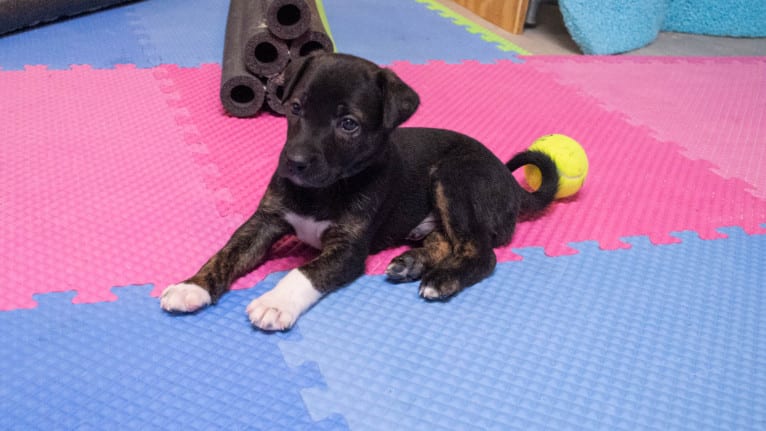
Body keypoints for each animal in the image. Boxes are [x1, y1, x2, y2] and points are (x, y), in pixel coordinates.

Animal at [160, 53, 560, 330]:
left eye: (348, 124)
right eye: (295, 108)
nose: (294, 162)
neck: (324, 189)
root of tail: (512, 185)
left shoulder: (348, 248)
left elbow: (304, 271)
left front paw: (276, 302)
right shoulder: (265, 220)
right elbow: (226, 253)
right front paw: (193, 285)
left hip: (455, 177)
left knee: (481, 251)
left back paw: (442, 278)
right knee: (448, 239)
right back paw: (411, 261)